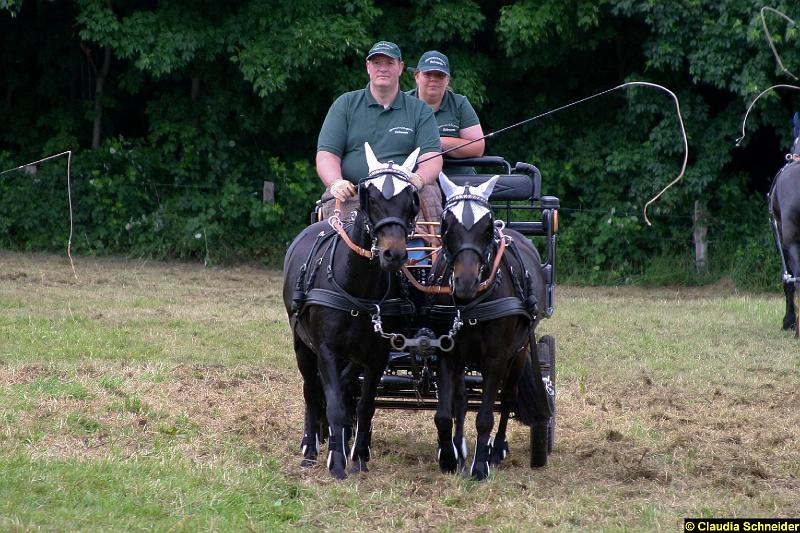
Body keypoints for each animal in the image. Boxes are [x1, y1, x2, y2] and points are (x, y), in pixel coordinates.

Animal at [286, 141, 424, 478]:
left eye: (411, 201)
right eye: (370, 198)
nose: (393, 254)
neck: (359, 285)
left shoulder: (378, 355)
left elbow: (365, 404)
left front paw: (359, 456)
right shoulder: (325, 349)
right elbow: (334, 403)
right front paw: (336, 462)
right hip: (301, 345)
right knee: (312, 390)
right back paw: (310, 448)